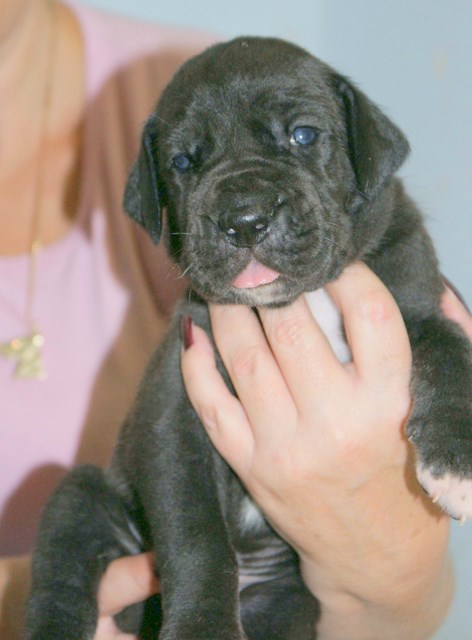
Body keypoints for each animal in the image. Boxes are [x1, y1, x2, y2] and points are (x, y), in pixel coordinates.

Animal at [25, 37, 472, 640]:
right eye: (182, 162)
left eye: (303, 135)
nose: (244, 218)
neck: (299, 299)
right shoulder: (177, 407)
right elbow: (196, 535)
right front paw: (203, 627)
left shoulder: (420, 306)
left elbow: (451, 355)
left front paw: (456, 461)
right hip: (86, 498)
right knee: (62, 574)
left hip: (288, 601)